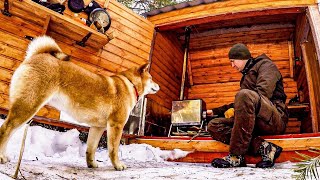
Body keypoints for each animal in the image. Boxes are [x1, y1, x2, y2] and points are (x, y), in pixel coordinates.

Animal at [0, 35, 159, 170]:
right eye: (151, 78)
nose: (158, 86)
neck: (130, 83)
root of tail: (38, 55)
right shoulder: (116, 125)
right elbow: (113, 149)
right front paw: (118, 165)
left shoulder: (97, 128)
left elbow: (91, 149)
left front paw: (92, 164)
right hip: (28, 107)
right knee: (5, 129)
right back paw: (2, 157)